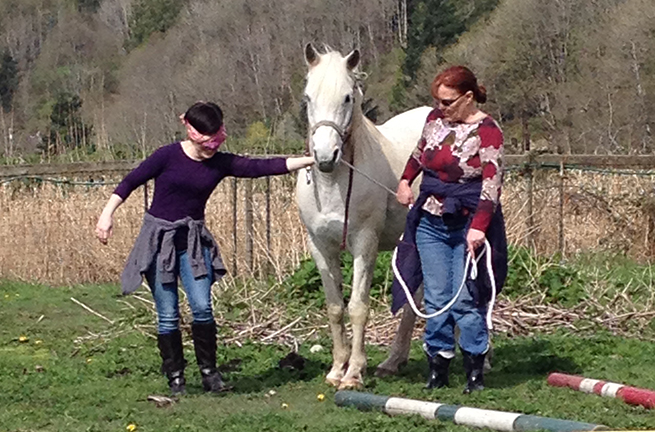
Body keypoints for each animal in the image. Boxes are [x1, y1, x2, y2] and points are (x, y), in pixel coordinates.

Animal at [296, 44, 430, 388]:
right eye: (307, 98)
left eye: (347, 97)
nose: (325, 157)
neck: (334, 183)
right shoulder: (320, 246)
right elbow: (334, 307)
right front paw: (336, 370)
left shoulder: (364, 244)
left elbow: (357, 307)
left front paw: (354, 372)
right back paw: (393, 362)